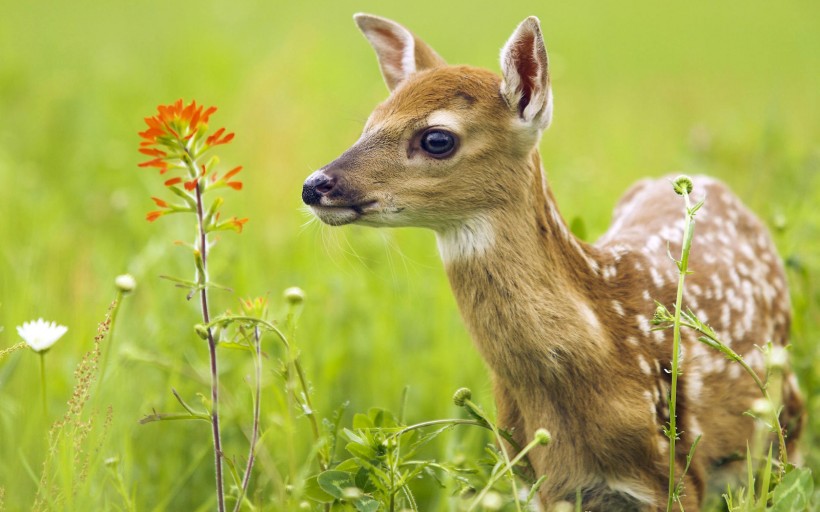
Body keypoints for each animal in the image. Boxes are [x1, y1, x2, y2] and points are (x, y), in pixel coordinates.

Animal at [300, 14, 800, 510]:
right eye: (370, 122)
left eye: (437, 138)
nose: (315, 185)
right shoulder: (539, 480)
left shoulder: (678, 474)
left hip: (786, 426)